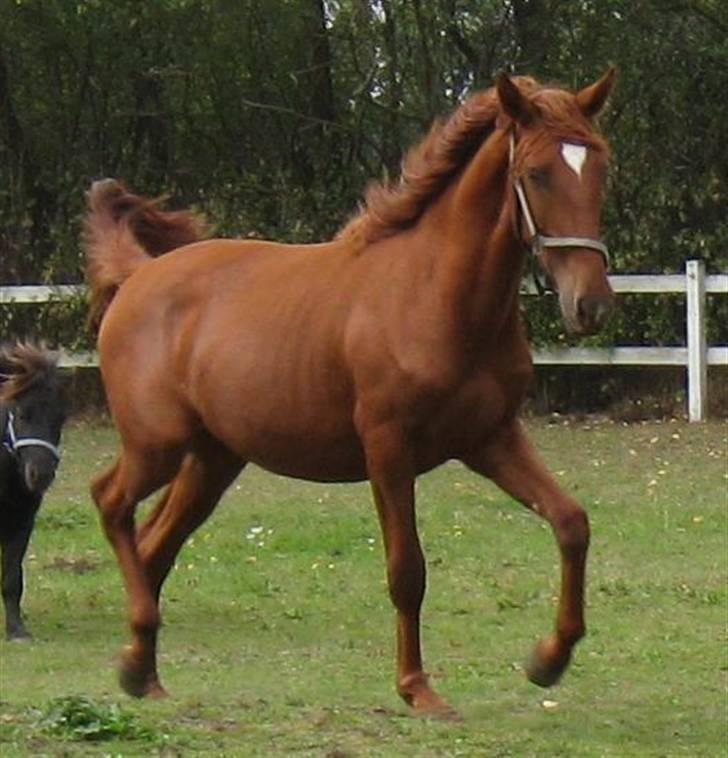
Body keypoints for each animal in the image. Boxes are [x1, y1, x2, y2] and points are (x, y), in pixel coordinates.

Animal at [88, 68, 616, 716]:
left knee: (154, 543)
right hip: (156, 445)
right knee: (111, 503)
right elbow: (407, 569)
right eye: (537, 173)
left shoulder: (491, 439)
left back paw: (141, 669)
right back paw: (138, 647)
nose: (590, 305)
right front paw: (417, 688)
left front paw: (548, 660)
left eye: (600, 167)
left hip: (212, 460)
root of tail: (138, 277)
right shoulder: (388, 448)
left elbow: (570, 522)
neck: (434, 294)